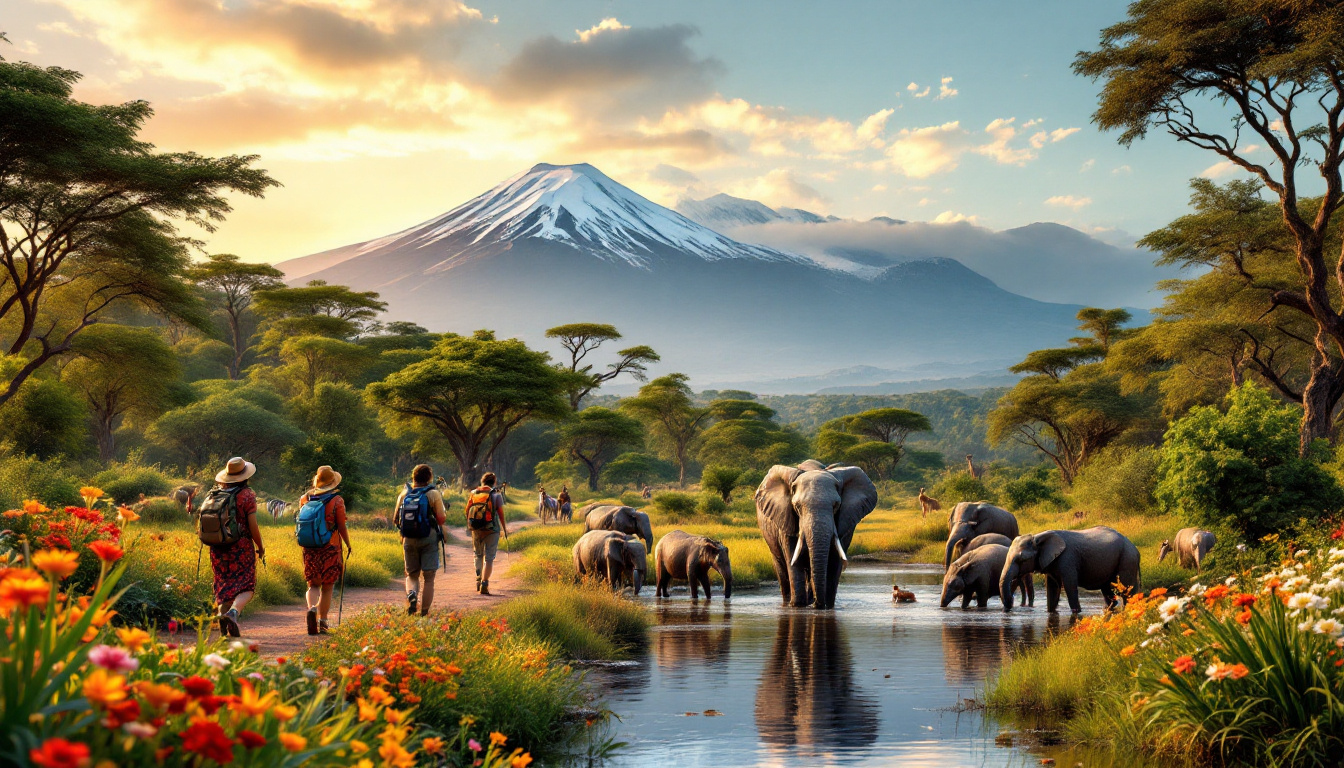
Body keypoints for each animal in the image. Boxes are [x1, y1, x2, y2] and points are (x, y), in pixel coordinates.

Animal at [752, 459, 876, 610]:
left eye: (836, 505)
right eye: (797, 506)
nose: (817, 604)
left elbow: (834, 560)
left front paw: (827, 607)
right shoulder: (786, 519)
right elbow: (793, 559)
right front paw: (797, 606)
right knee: (782, 568)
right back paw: (790, 603)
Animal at [1005, 527, 1139, 616]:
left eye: (1022, 560)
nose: (1009, 607)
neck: (1037, 537)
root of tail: (1135, 549)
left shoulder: (1068, 559)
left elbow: (1069, 585)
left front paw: (1076, 613)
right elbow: (1052, 587)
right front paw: (1050, 612)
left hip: (1127, 559)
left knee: (1127, 589)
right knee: (1108, 591)